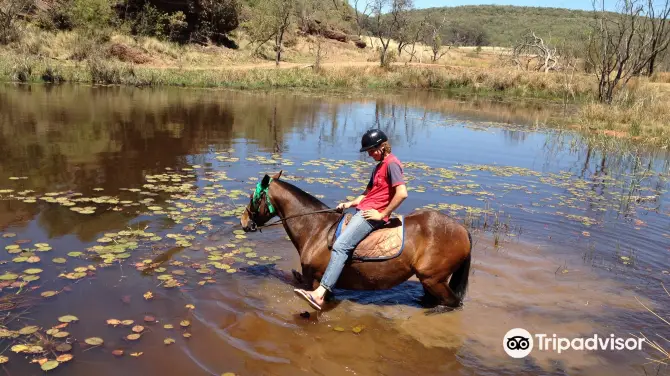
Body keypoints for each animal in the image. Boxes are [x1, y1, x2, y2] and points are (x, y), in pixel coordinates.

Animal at [240, 172, 472, 310]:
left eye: (253, 197)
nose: (243, 221)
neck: (316, 228)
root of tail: (462, 229)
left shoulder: (314, 280)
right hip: (430, 282)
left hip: (433, 279)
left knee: (451, 303)